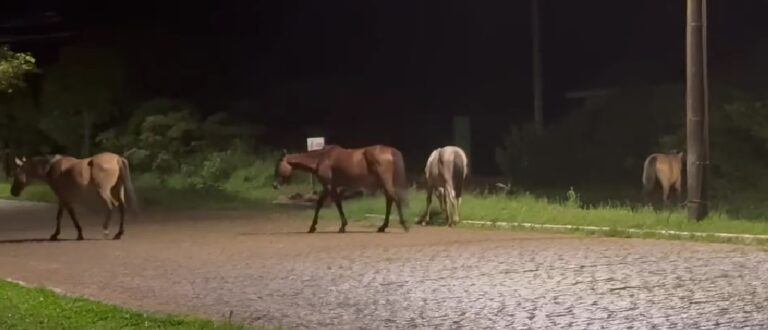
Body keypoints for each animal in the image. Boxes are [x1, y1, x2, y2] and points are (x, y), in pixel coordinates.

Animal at [9, 152, 139, 240]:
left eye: (16, 174)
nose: (12, 192)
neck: (51, 167)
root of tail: (117, 158)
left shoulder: (64, 198)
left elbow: (69, 216)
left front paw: (77, 234)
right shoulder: (63, 199)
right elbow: (60, 216)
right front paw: (56, 234)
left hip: (104, 191)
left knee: (111, 206)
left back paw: (106, 230)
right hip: (118, 189)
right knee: (122, 207)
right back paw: (119, 233)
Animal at [274, 145, 412, 235]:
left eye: (278, 165)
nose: (274, 185)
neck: (321, 158)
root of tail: (390, 151)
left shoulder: (329, 186)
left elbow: (336, 204)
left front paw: (342, 226)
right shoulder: (329, 187)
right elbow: (320, 204)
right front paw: (313, 227)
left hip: (385, 182)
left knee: (395, 199)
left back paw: (404, 225)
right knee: (390, 200)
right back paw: (383, 227)